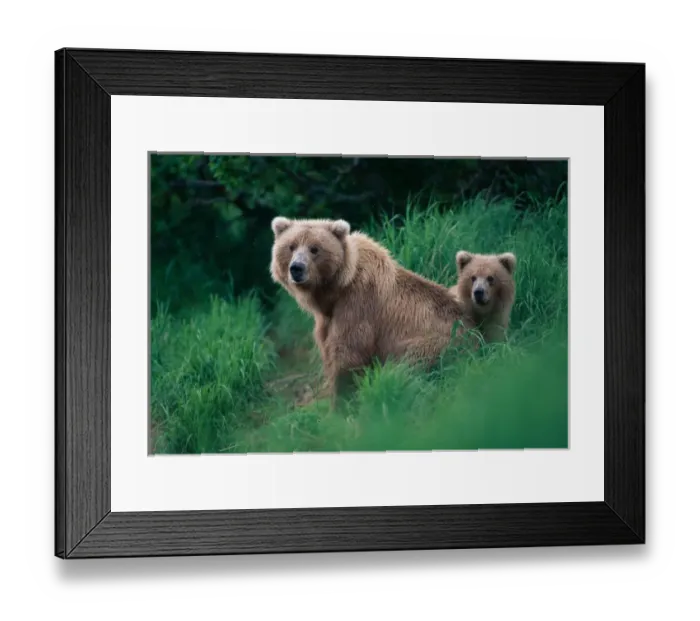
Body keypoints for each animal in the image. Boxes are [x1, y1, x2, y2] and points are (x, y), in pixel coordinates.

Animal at [270, 216, 468, 408]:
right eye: (291, 246)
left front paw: (341, 402)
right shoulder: (327, 320)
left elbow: (348, 353)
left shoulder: (358, 304)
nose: (297, 268)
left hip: (434, 344)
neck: (335, 290)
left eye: (314, 249)